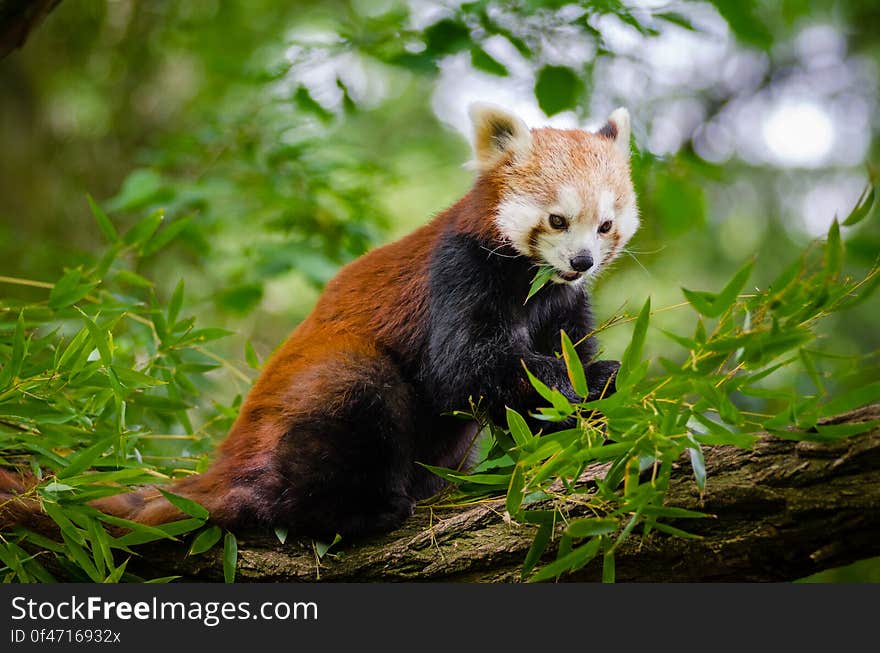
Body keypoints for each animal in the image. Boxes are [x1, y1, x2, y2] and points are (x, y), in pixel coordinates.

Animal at [3, 104, 644, 536]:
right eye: (558, 220)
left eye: (605, 225)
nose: (582, 261)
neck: (532, 286)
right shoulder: (460, 270)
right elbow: (465, 367)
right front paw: (568, 385)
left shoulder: (562, 304)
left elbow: (555, 366)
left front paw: (596, 394)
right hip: (314, 398)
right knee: (353, 394)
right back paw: (358, 510)